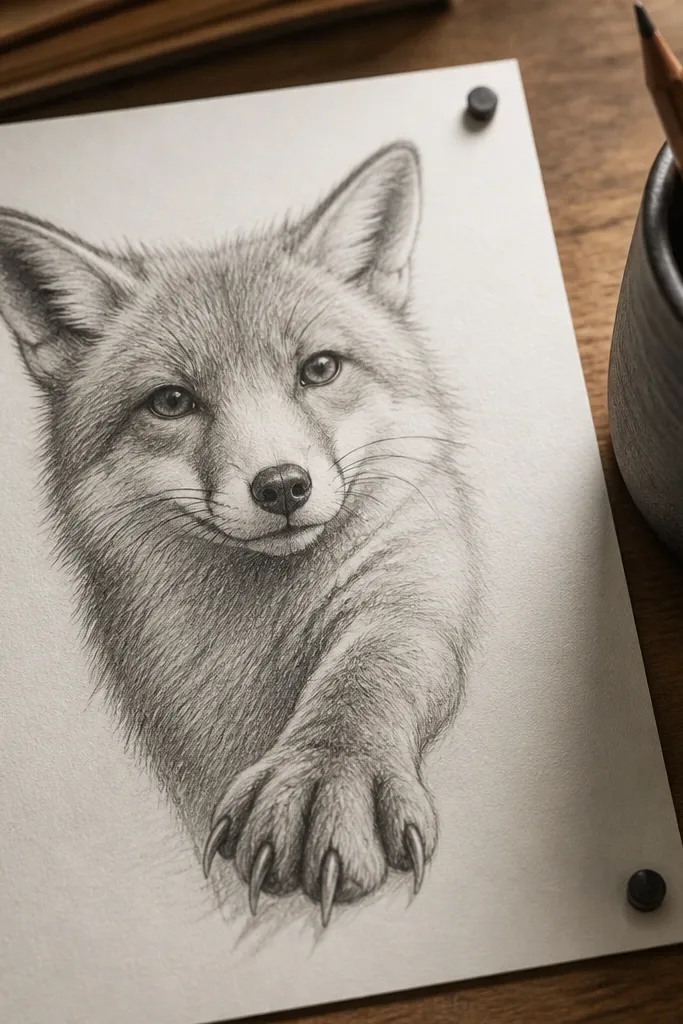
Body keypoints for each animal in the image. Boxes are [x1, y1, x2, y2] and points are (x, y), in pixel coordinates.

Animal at [0, 140, 480, 927]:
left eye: (320, 368)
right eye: (171, 401)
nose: (282, 486)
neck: (260, 636)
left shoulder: (402, 591)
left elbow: (362, 681)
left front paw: (325, 774)